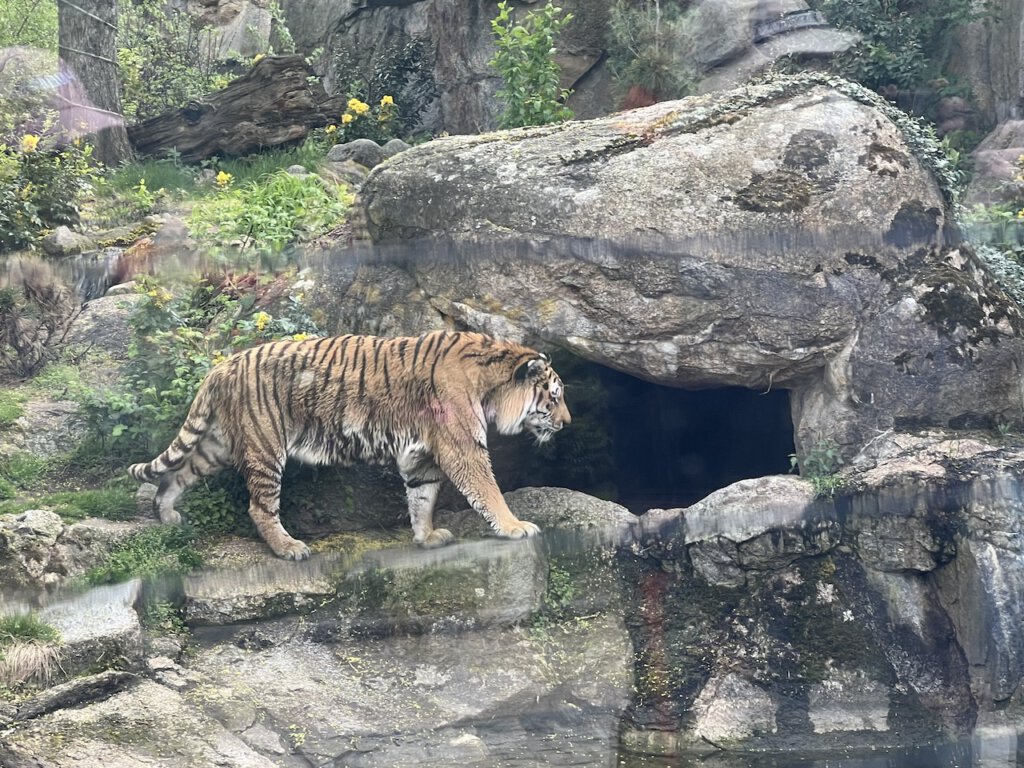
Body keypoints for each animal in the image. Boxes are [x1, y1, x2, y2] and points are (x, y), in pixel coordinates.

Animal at [129, 330, 570, 560]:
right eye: (554, 396)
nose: (568, 424)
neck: (491, 381)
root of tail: (221, 367)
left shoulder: (422, 456)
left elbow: (421, 498)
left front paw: (426, 537)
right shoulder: (462, 446)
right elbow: (487, 490)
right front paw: (515, 527)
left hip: (220, 444)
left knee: (176, 475)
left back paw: (166, 513)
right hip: (264, 446)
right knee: (259, 507)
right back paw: (289, 547)